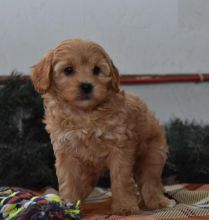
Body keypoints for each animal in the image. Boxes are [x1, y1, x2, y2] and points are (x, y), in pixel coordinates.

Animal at [31, 38, 175, 214]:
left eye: (97, 69)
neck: (84, 114)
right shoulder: (66, 151)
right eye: (68, 70)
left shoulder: (120, 148)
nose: (87, 86)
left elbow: (121, 180)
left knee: (151, 181)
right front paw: (68, 206)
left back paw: (159, 201)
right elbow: (69, 181)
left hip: (152, 154)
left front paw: (125, 206)